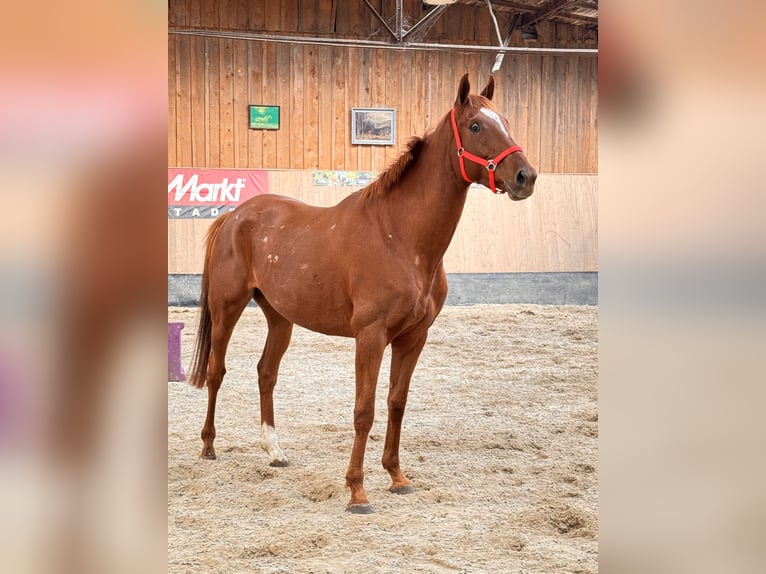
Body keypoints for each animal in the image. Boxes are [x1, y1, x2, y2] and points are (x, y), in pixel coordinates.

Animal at [190, 74, 540, 516]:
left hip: (280, 317)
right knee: (216, 372)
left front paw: (397, 476)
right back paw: (208, 446)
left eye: (506, 121)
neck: (399, 237)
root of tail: (234, 216)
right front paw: (357, 491)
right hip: (227, 308)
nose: (525, 177)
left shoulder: (413, 338)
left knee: (266, 372)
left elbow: (396, 403)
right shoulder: (370, 337)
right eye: (475, 126)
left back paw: (275, 450)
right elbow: (364, 410)